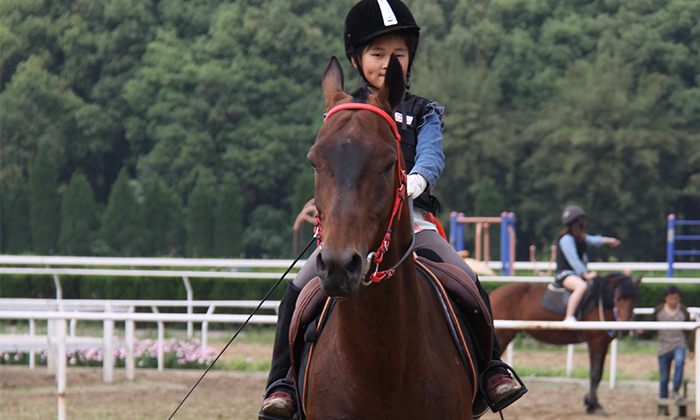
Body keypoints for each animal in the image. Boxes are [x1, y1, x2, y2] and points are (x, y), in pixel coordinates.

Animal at [490, 274, 644, 416]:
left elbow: (598, 373)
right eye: (617, 297)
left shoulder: (603, 343)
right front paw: (594, 405)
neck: (599, 303)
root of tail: (494, 293)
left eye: (635, 297)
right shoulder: (596, 342)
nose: (624, 330)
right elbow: (595, 374)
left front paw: (590, 403)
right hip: (502, 335)